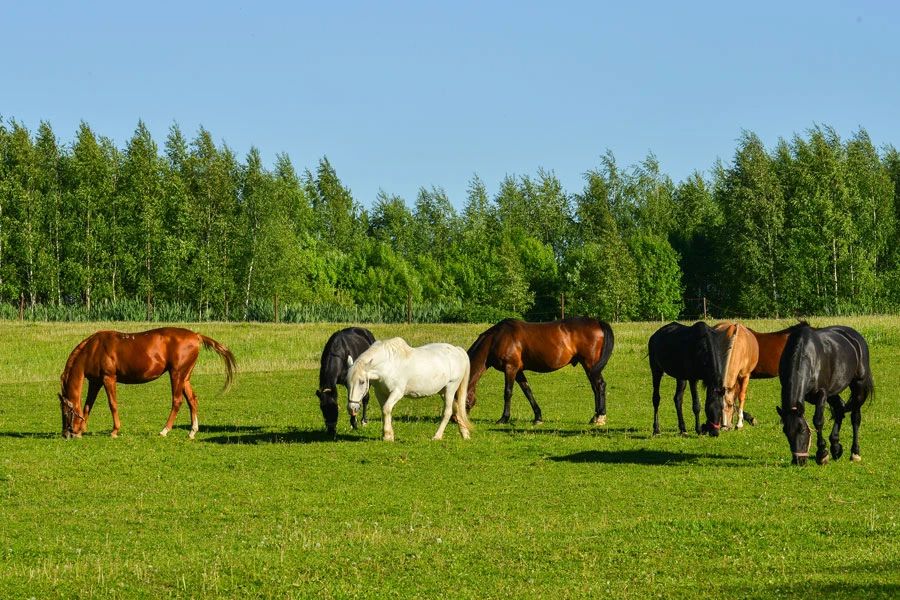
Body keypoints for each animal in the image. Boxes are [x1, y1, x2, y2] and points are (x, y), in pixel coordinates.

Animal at [58, 328, 236, 440]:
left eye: (65, 412)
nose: (65, 434)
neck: (93, 349)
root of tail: (195, 335)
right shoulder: (95, 382)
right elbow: (88, 406)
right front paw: (80, 431)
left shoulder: (108, 378)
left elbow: (112, 404)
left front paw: (114, 430)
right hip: (185, 377)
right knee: (192, 400)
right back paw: (192, 432)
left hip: (176, 374)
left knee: (177, 401)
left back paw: (164, 430)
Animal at [346, 338, 474, 440]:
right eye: (347, 383)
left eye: (362, 382)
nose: (352, 409)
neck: (388, 364)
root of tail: (457, 350)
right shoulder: (380, 393)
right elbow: (384, 411)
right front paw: (387, 435)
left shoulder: (397, 392)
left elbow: (386, 409)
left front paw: (387, 436)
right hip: (443, 392)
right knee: (457, 408)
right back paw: (465, 434)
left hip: (450, 389)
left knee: (447, 412)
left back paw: (437, 436)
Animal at [468, 316, 616, 424]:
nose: (461, 421)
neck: (496, 338)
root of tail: (598, 322)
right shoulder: (518, 371)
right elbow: (528, 391)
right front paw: (538, 417)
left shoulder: (510, 368)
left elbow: (508, 393)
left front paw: (504, 418)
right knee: (595, 387)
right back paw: (595, 417)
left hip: (590, 364)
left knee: (600, 385)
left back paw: (600, 417)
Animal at [772, 326, 872, 466]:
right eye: (785, 431)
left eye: (802, 430)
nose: (799, 461)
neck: (807, 356)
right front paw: (830, 450)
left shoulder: (822, 393)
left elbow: (818, 420)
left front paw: (822, 454)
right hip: (833, 392)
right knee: (840, 409)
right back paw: (836, 447)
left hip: (858, 387)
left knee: (855, 417)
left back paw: (855, 452)